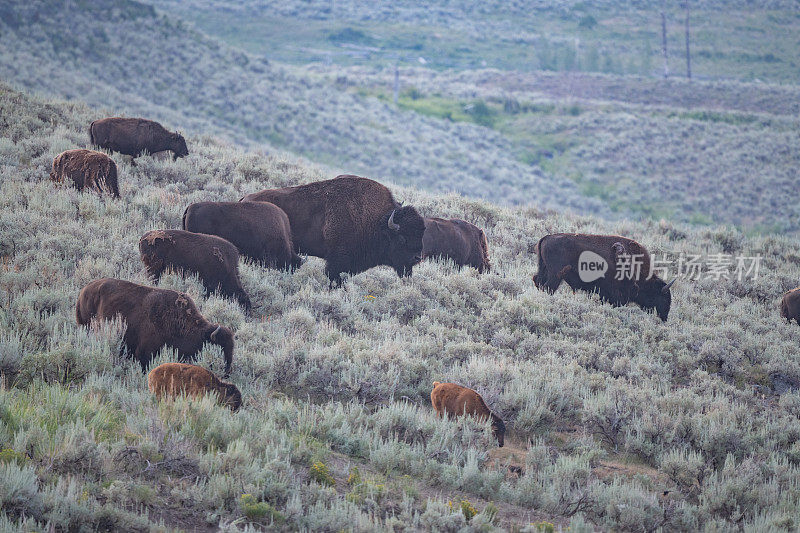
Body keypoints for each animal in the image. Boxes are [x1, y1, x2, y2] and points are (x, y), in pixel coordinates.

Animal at [242, 174, 424, 282]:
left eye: (421, 235)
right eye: (402, 238)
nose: (417, 258)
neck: (377, 222)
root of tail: (245, 198)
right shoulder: (337, 262)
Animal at [532, 233, 676, 320]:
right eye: (663, 298)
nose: (664, 317)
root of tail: (547, 237)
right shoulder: (618, 297)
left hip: (544, 270)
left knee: (537, 281)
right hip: (555, 276)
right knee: (547, 287)